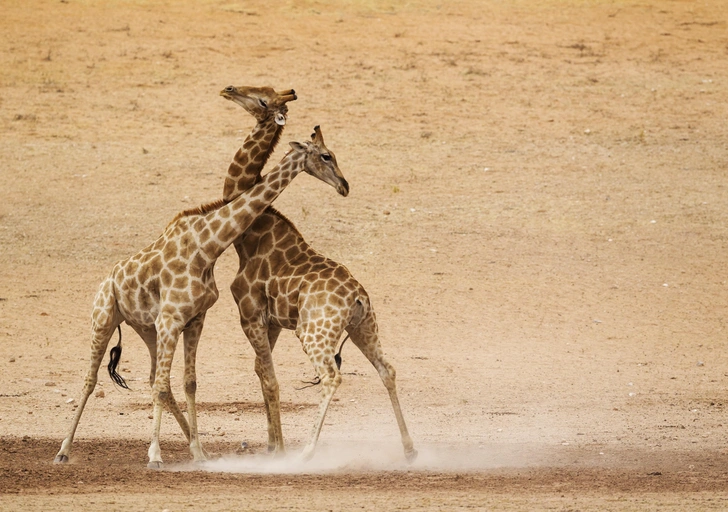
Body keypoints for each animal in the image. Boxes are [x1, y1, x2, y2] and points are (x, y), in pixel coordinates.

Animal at [52, 128, 348, 468]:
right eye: (326, 156)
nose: (344, 186)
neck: (207, 246)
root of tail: (107, 279)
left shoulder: (192, 319)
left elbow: (186, 383)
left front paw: (196, 450)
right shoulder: (171, 319)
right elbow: (162, 386)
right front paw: (155, 455)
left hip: (147, 329)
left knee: (156, 379)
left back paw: (195, 447)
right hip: (103, 319)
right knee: (91, 380)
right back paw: (63, 450)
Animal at [220, 86, 416, 462]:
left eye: (262, 99)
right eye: (327, 156)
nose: (229, 89)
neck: (249, 236)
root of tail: (358, 296)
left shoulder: (249, 313)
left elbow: (269, 377)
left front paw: (278, 452)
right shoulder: (271, 321)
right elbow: (261, 371)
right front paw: (271, 446)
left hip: (313, 332)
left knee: (331, 377)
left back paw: (307, 453)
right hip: (363, 326)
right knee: (387, 369)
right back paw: (410, 450)